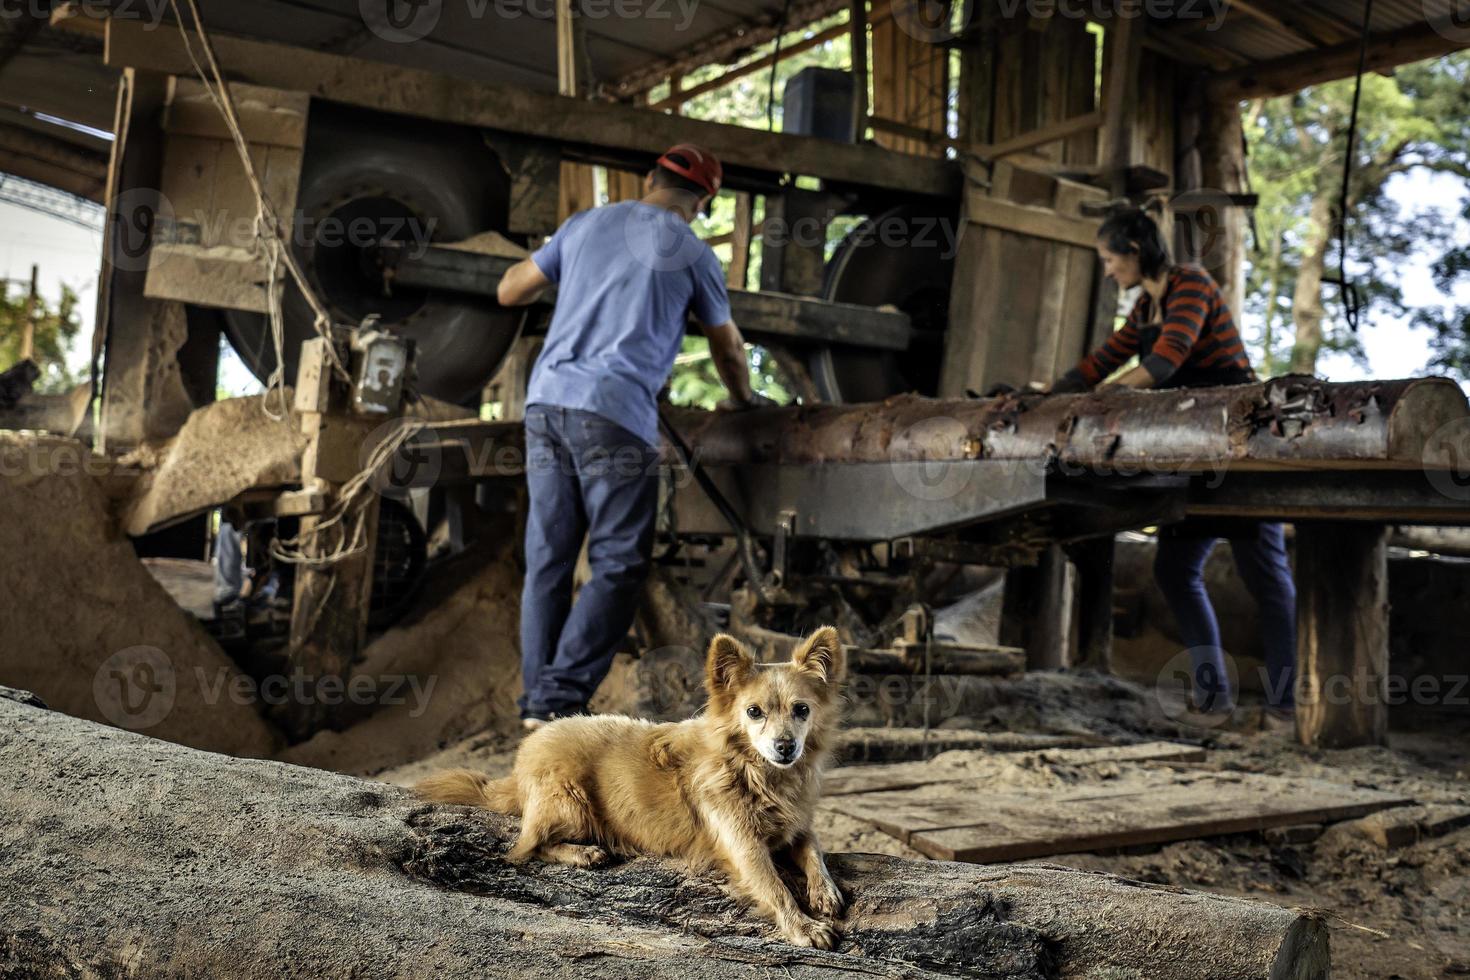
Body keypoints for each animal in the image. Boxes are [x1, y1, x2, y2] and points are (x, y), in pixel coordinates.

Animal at [420, 628, 846, 952]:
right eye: (754, 712)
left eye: (802, 710)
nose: (785, 747)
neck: (756, 772)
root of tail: (520, 761)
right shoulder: (744, 848)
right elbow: (776, 888)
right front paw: (804, 927)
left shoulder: (795, 824)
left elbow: (813, 848)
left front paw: (824, 891)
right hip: (571, 804)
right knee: (527, 846)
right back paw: (584, 853)